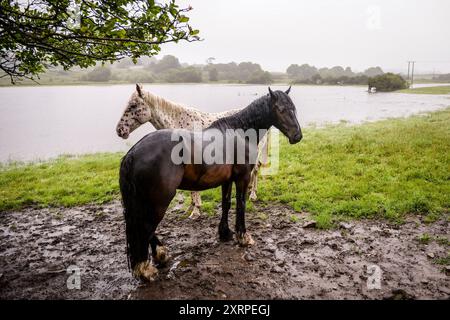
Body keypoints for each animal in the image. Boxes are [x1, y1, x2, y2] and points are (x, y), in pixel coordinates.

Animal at [116, 84, 268, 218]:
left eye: (133, 105)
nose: (119, 130)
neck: (179, 122)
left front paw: (195, 211)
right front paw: (191, 207)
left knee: (255, 170)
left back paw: (253, 194)